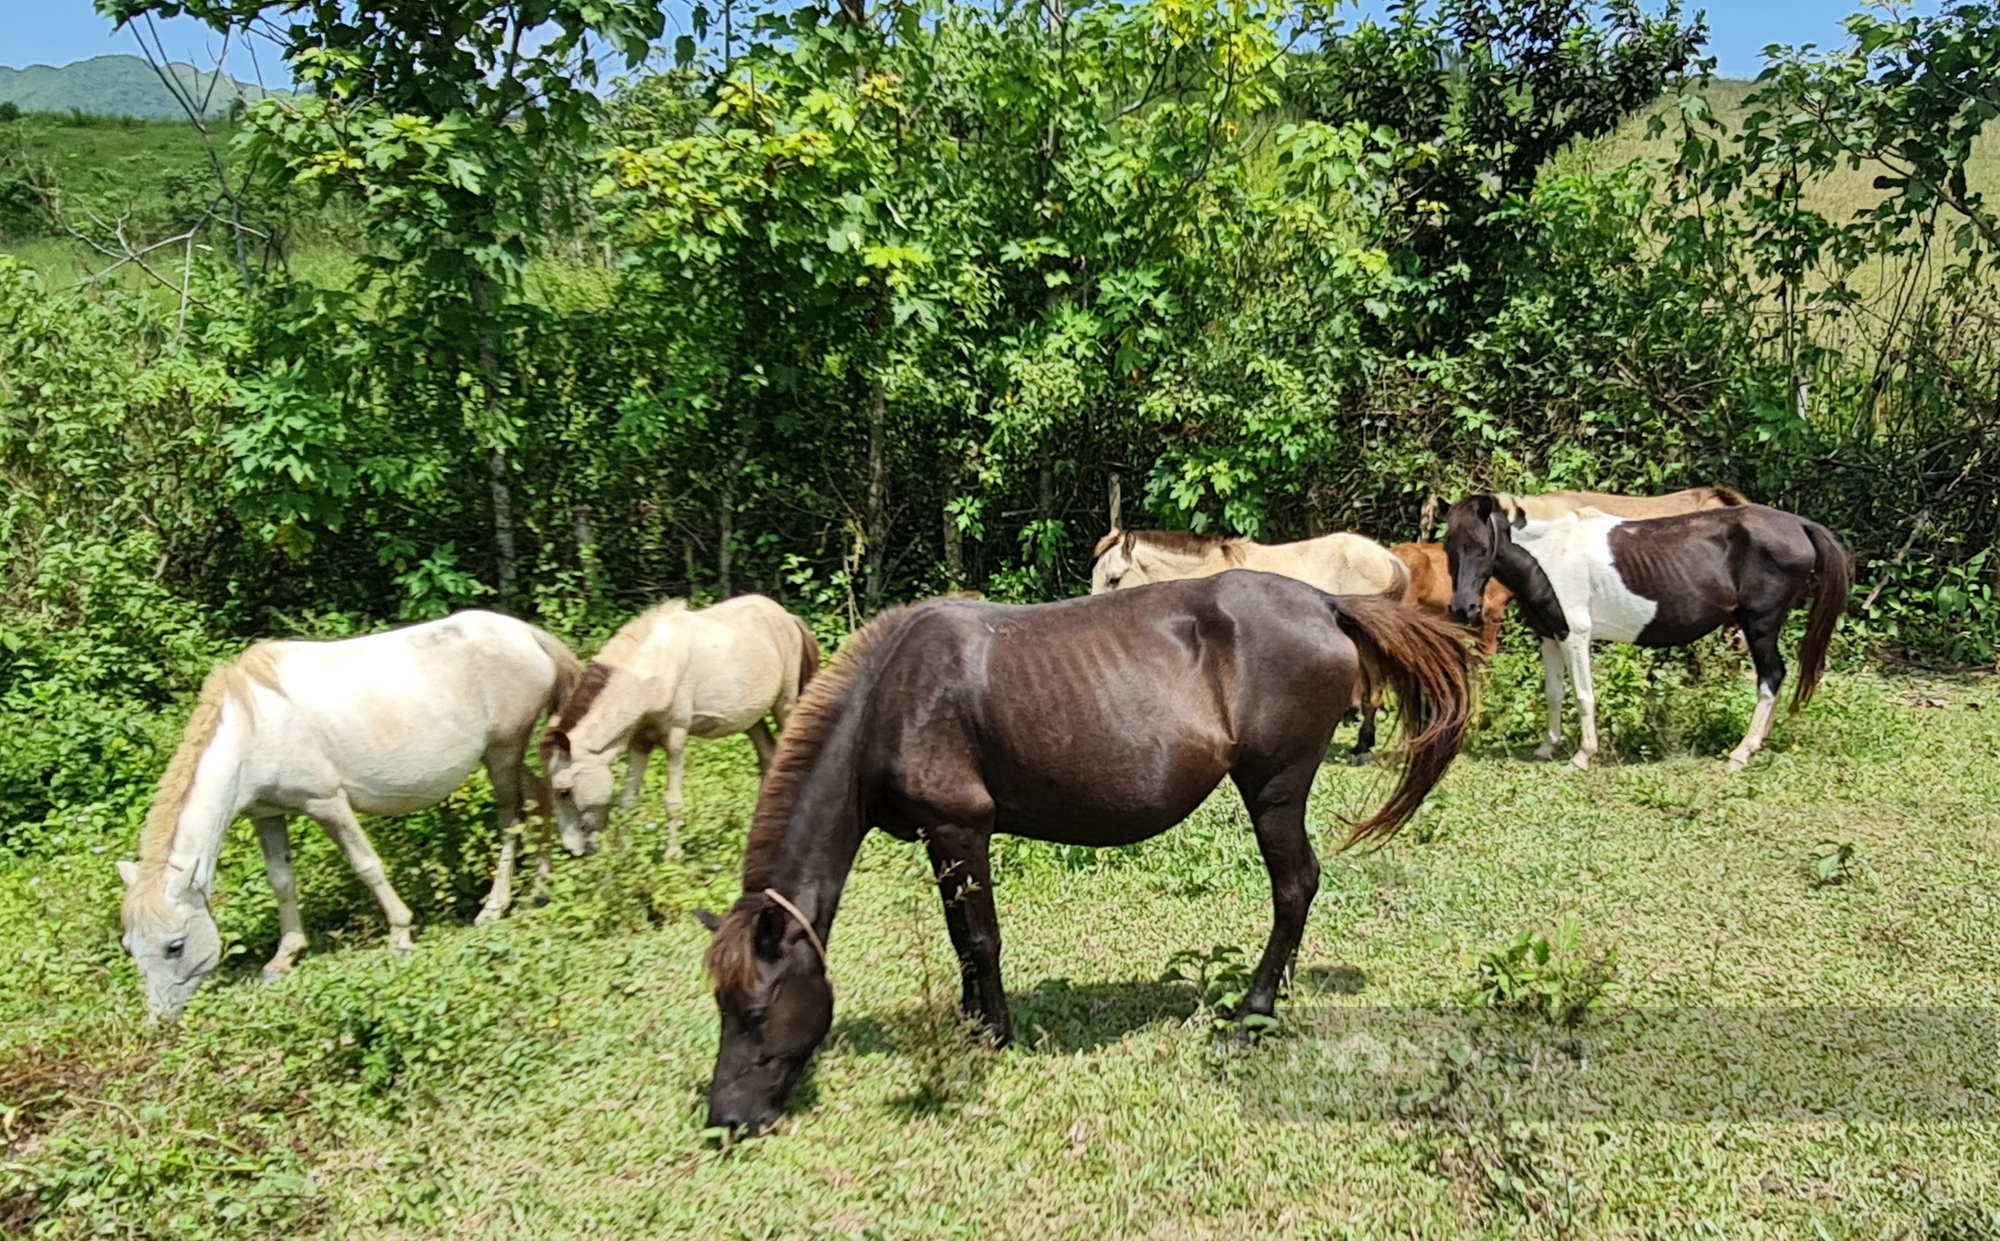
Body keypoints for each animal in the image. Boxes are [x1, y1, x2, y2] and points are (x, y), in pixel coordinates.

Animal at [120, 612, 580, 1016]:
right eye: (130, 947)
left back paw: (494, 907)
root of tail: (526, 633)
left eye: (174, 945)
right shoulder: (267, 814)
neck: (252, 726)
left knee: (511, 820)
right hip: (502, 756)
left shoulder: (326, 802)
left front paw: (401, 934)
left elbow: (367, 865)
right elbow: (281, 880)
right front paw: (283, 958)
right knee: (541, 798)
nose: (159, 1018)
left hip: (503, 751)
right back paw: (538, 891)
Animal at [540, 592, 820, 852]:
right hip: (752, 719)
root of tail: (788, 618)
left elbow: (672, 800)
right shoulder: (640, 741)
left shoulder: (675, 738)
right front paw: (623, 851)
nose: (572, 847)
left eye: (564, 792)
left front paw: (673, 853)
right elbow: (628, 798)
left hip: (785, 705)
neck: (653, 673)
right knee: (768, 757)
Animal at [700, 572, 1472, 1136]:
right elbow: (957, 938)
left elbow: (980, 938)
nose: (727, 1117)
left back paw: (1251, 1018)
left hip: (1274, 788)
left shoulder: (961, 829)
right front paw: (969, 1019)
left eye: (756, 1011)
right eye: (720, 1005)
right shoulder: (937, 840)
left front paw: (994, 1033)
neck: (890, 702)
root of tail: (1326, 601)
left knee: (1295, 886)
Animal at [1448, 496, 1848, 772]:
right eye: (1450, 547)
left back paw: (1740, 753)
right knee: (1776, 677)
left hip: (1760, 625)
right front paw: (1547, 748)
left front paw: (1581, 757)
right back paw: (1756, 745)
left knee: (1770, 677)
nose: (1462, 608)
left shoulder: (1575, 635)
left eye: (1482, 548)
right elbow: (1554, 694)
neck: (1550, 553)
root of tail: (1801, 524)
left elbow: (1583, 696)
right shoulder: (1550, 635)